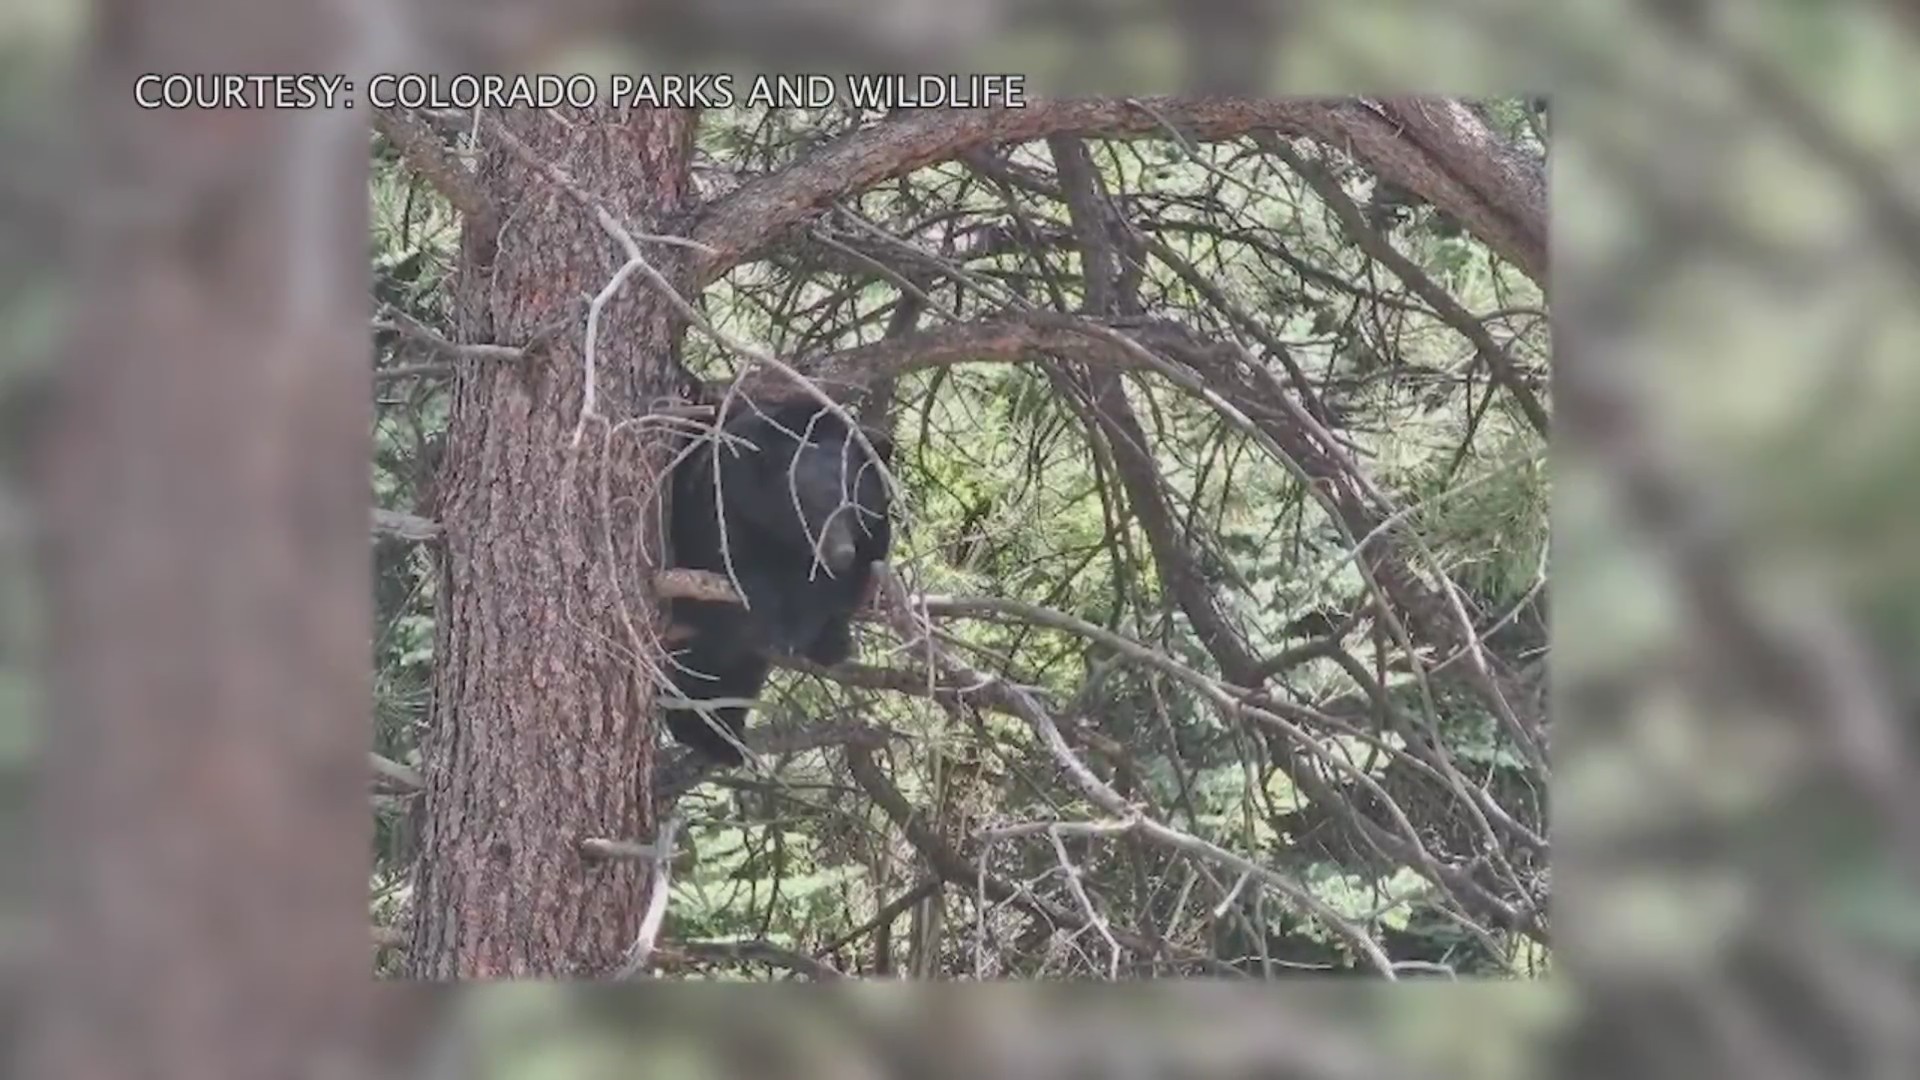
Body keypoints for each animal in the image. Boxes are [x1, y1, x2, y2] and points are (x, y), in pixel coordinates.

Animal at [664, 399, 894, 764]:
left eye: (854, 505)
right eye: (811, 507)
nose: (841, 553)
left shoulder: (872, 535)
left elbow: (845, 586)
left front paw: (822, 633)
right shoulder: (722, 497)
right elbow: (729, 567)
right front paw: (776, 616)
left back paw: (720, 735)